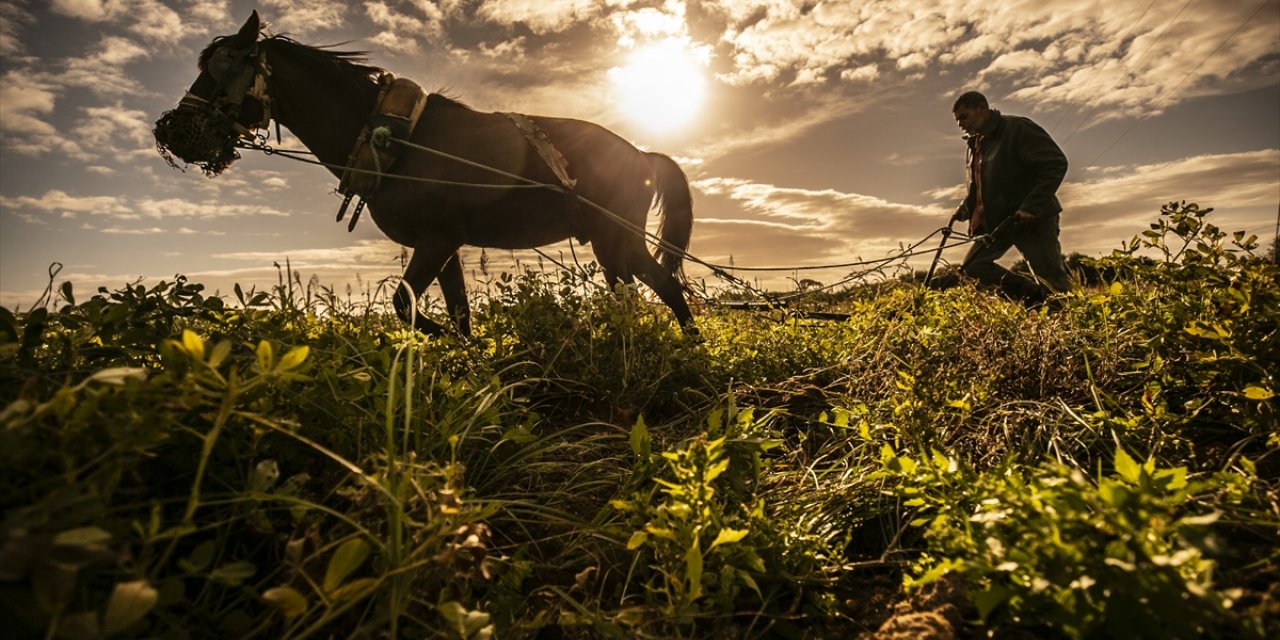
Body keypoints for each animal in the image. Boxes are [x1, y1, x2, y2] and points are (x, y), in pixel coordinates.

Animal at [157, 11, 701, 335]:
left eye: (221, 67)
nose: (170, 129)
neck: (391, 139)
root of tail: (642, 153)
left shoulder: (435, 241)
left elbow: (405, 306)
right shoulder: (446, 246)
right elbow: (458, 315)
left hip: (615, 238)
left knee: (651, 292)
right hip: (614, 243)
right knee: (646, 289)